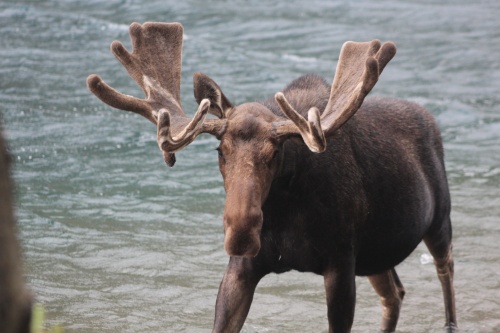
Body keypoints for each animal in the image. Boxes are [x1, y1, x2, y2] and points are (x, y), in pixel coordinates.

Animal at [87, 22, 458, 330]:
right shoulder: (241, 269)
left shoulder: (341, 262)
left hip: (439, 220)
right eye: (220, 150)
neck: (283, 213)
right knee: (394, 293)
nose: (240, 231)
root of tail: (431, 120)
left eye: (274, 153)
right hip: (375, 253)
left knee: (446, 273)